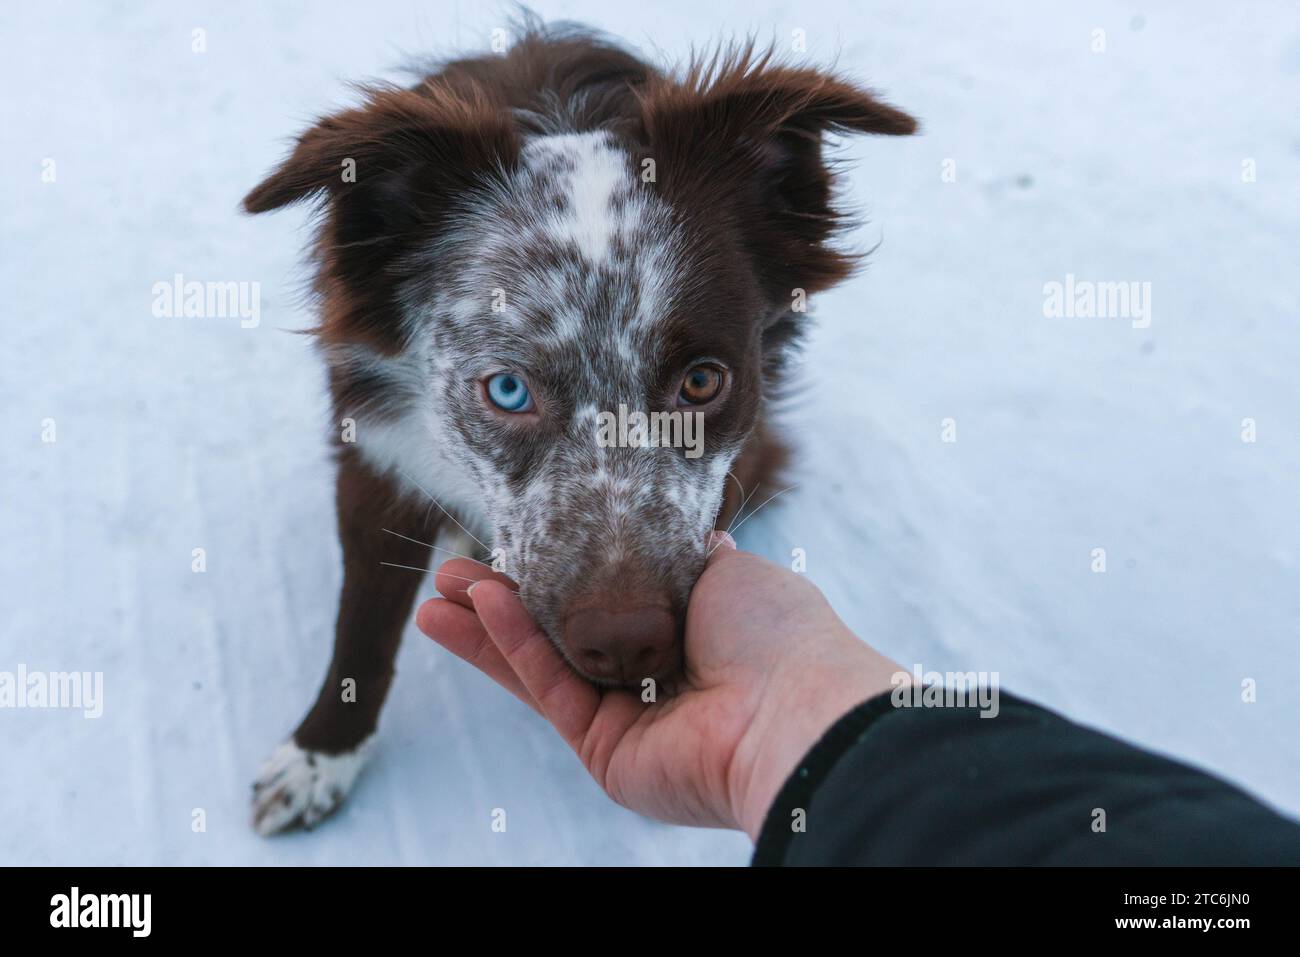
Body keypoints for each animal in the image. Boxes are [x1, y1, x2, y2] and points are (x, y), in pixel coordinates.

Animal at [244, 18, 915, 832]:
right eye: (508, 389)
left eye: (702, 381)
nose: (625, 647)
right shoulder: (375, 454)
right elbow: (361, 628)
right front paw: (321, 755)